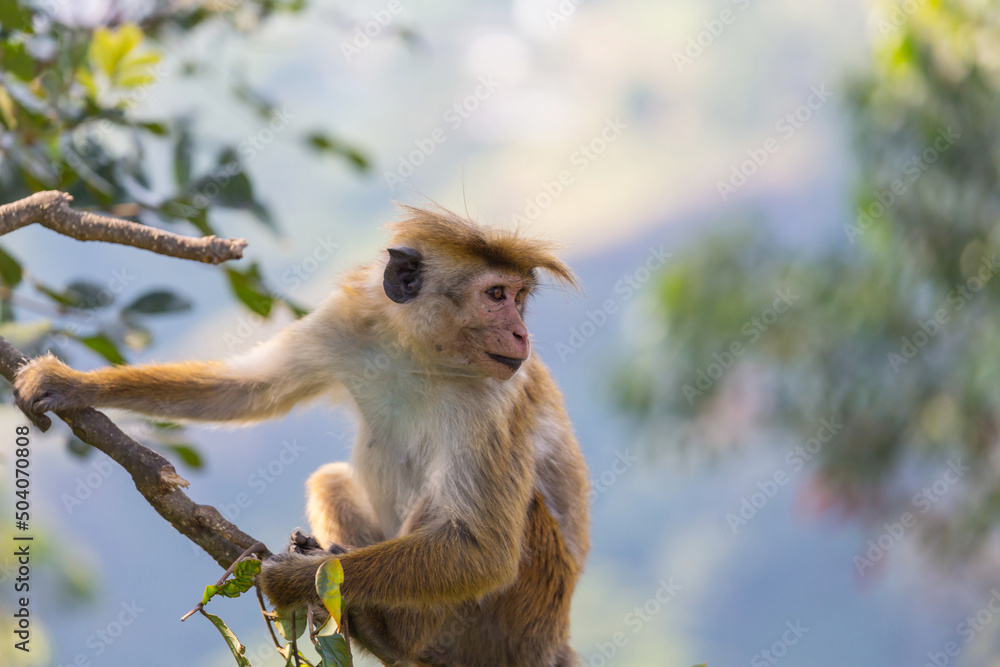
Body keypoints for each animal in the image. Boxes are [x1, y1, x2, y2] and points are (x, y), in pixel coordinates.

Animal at [14, 205, 591, 667]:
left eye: (519, 297)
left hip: (516, 616)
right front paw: (72, 384)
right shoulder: (345, 326)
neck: (419, 355)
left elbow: (483, 550)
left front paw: (291, 579)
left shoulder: (495, 397)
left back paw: (393, 635)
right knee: (330, 477)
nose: (521, 333)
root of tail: (553, 638)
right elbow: (247, 389)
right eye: (497, 295)